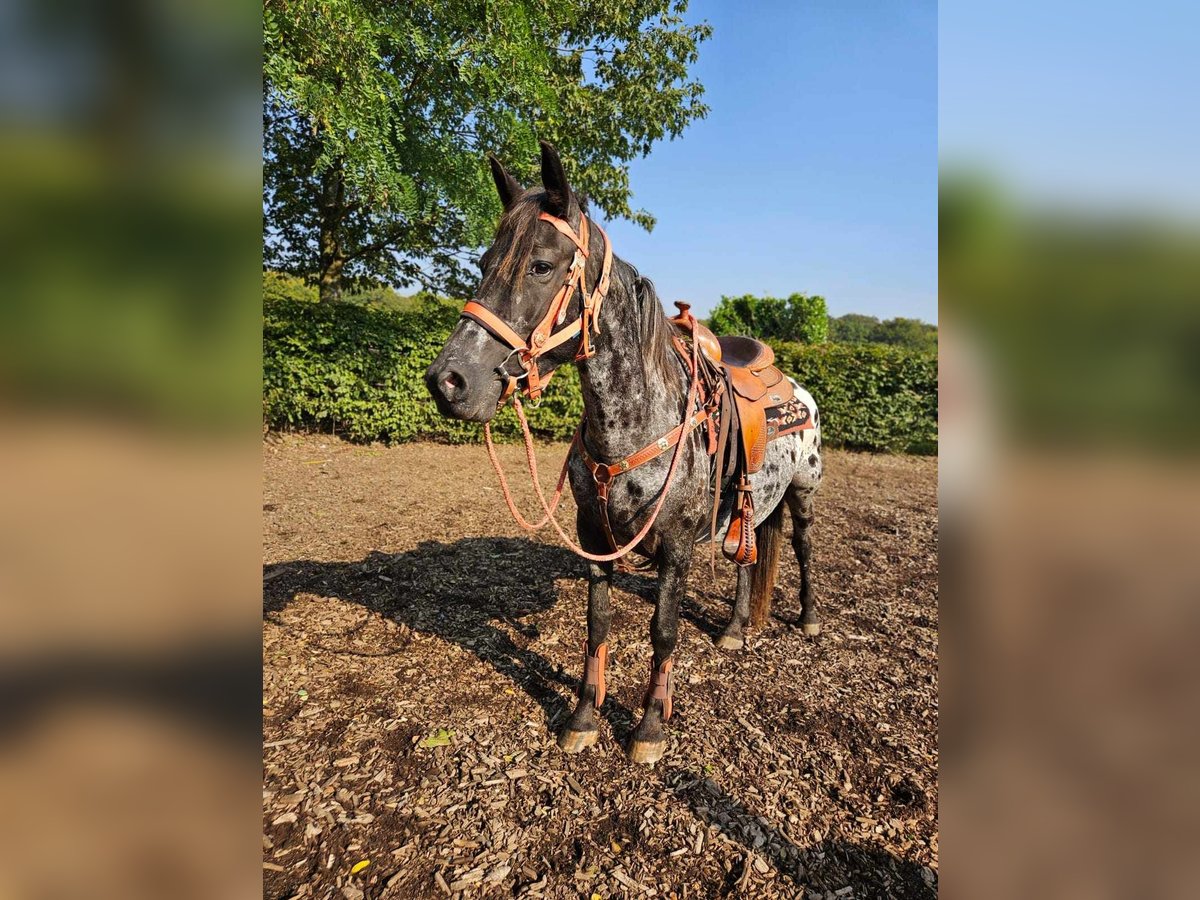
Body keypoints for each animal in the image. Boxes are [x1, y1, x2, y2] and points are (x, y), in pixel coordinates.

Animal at [424, 142, 825, 768]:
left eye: (542, 265)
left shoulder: (679, 543)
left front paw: (650, 727)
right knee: (748, 556)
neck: (638, 422)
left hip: (803, 492)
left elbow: (663, 631)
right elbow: (598, 624)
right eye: (485, 263)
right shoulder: (593, 534)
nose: (449, 381)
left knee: (803, 547)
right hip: (749, 502)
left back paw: (807, 620)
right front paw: (584, 718)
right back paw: (735, 628)